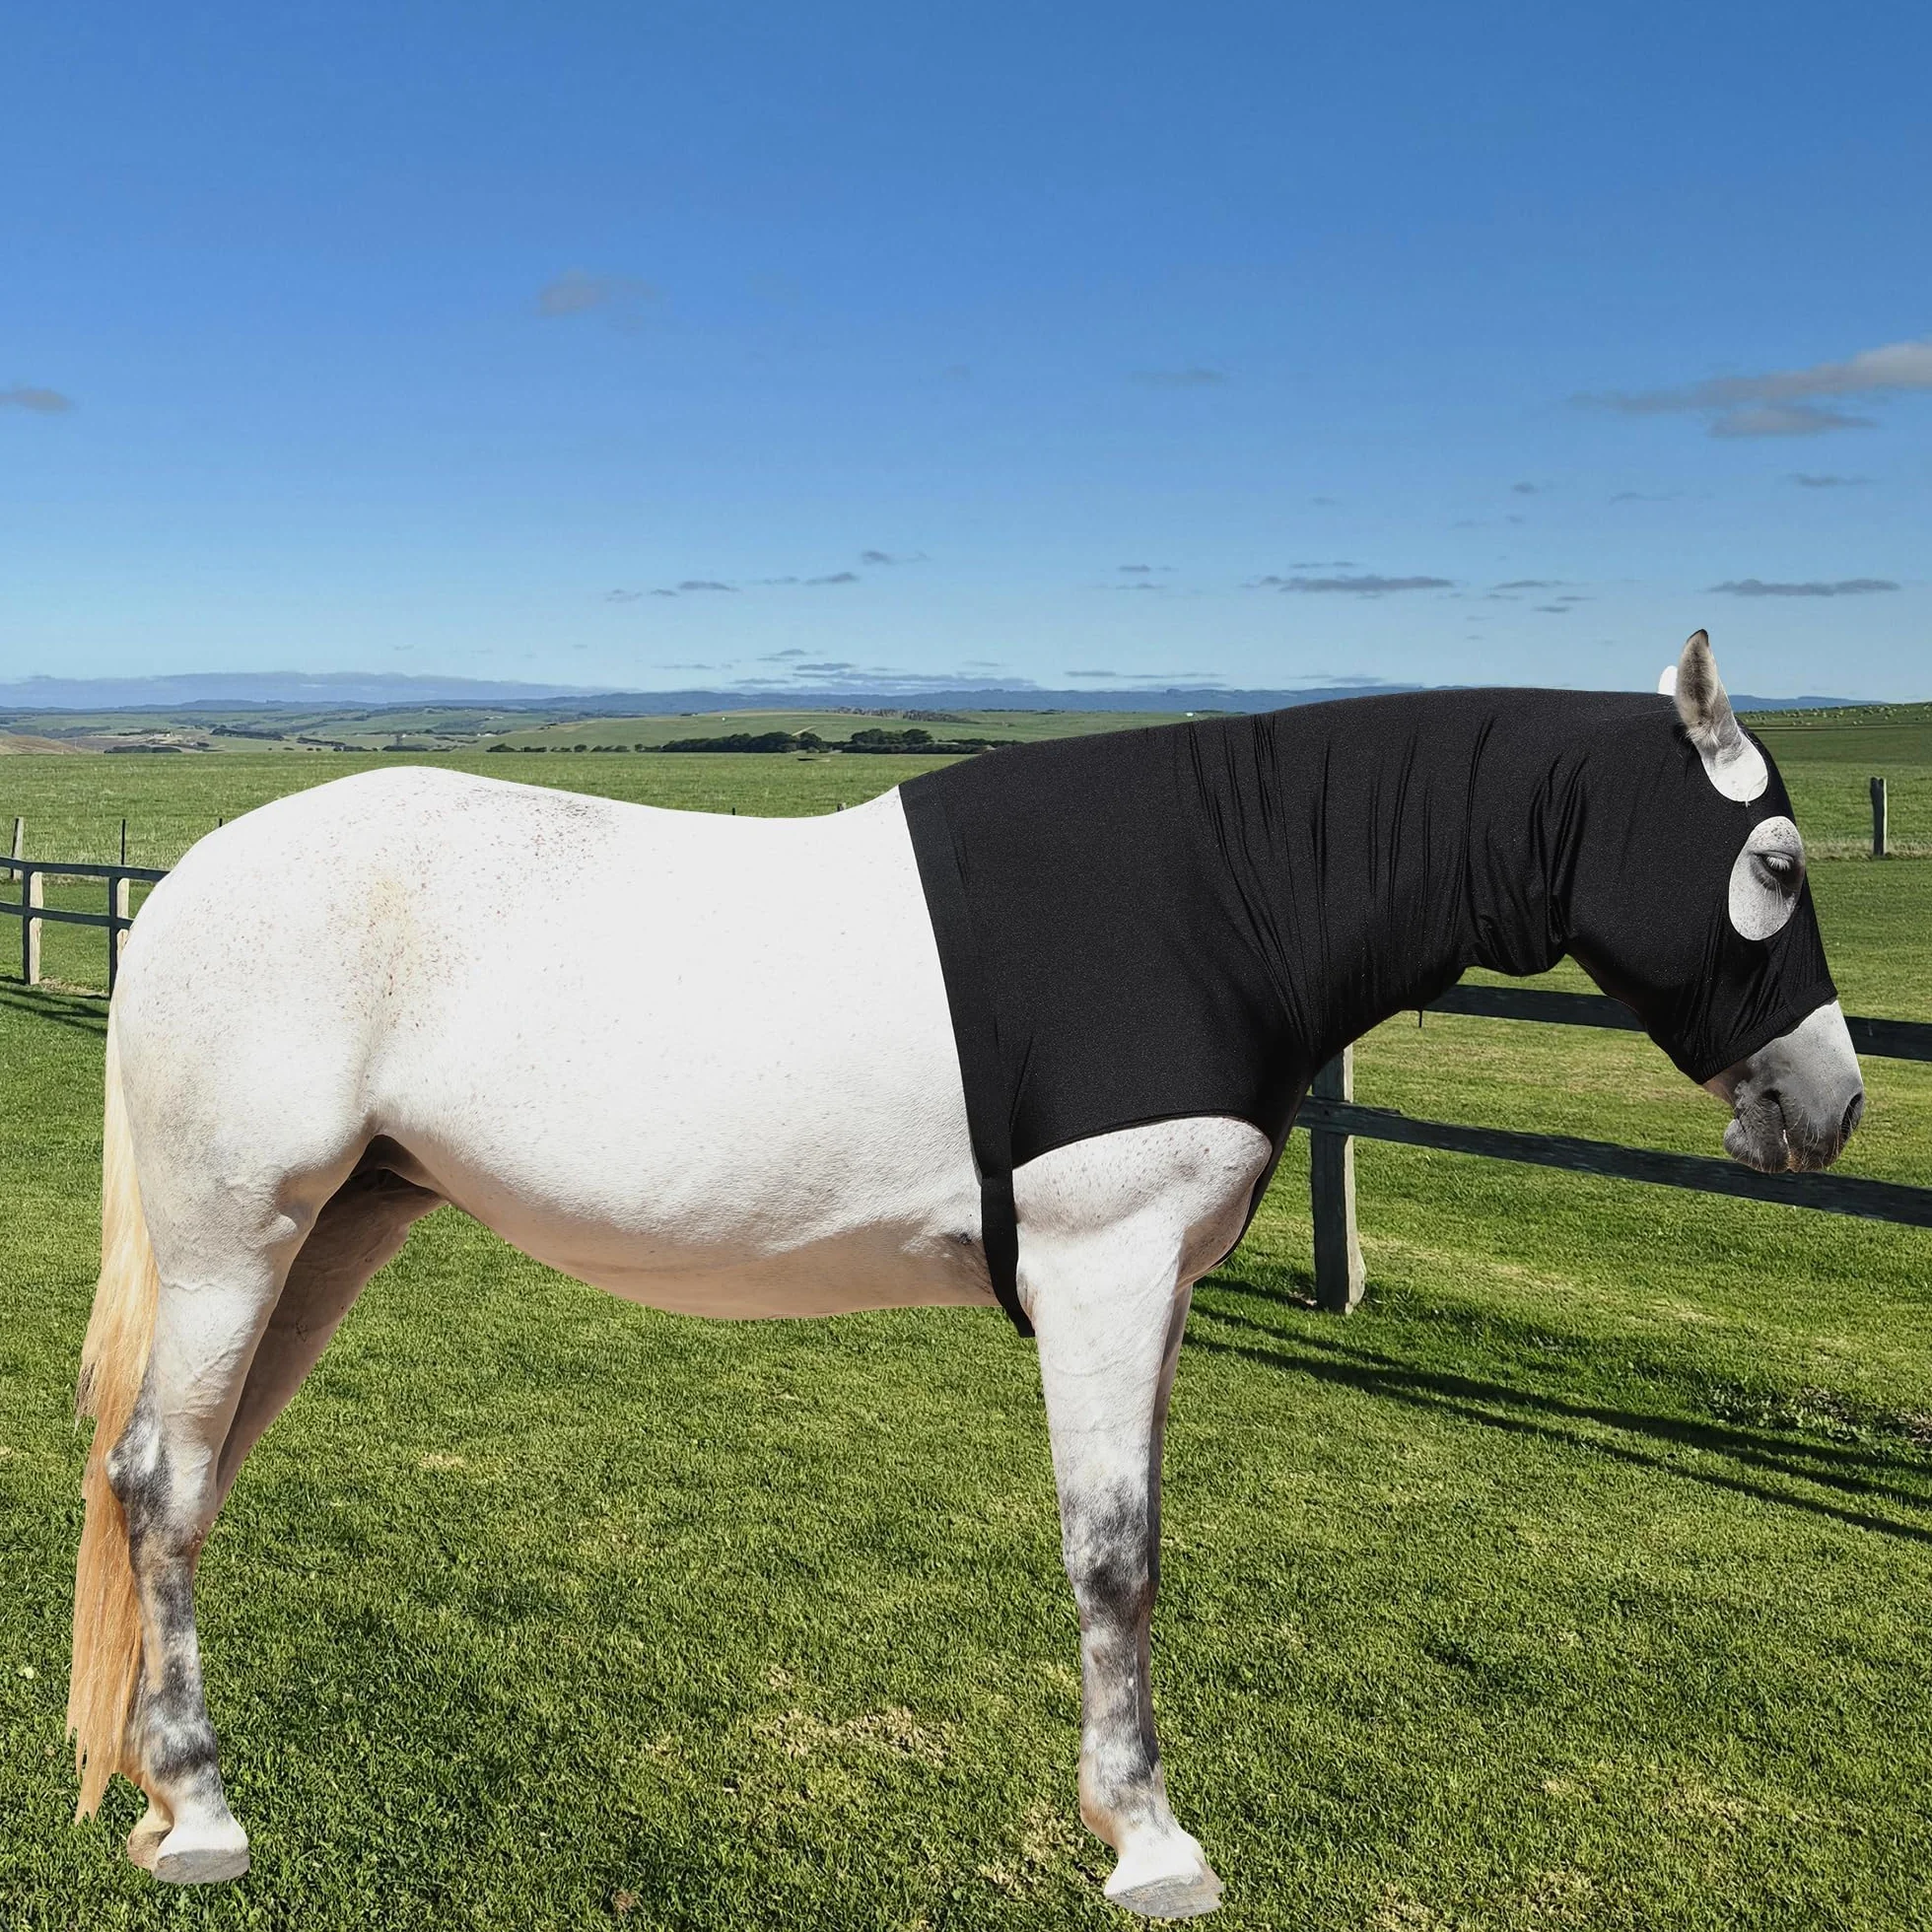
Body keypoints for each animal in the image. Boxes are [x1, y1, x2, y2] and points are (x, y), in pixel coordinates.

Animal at [67, 633, 1863, 1915]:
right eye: (1776, 860)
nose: (1831, 1107)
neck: (1222, 888)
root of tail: (185, 894)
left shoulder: (1154, 1288)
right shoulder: (1102, 1268)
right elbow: (1116, 1558)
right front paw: (1150, 1844)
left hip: (332, 1230)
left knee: (184, 1478)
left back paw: (166, 1792)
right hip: (240, 1234)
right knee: (162, 1483)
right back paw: (204, 1817)